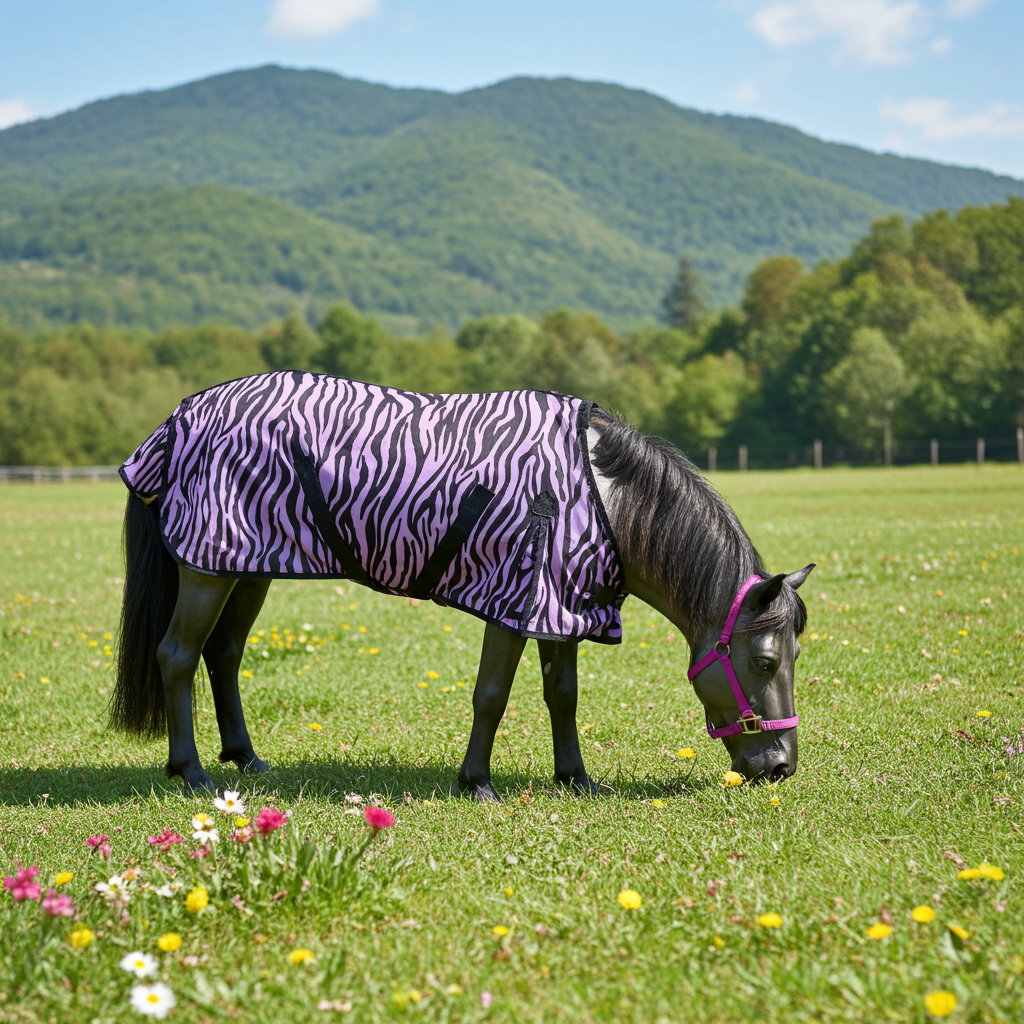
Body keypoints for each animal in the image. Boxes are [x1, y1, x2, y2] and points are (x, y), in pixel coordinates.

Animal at [111, 371, 812, 799]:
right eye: (764, 660)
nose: (780, 767)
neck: (596, 496)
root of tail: (182, 417)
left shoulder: (559, 606)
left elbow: (562, 695)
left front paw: (575, 778)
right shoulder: (514, 600)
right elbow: (492, 696)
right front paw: (476, 782)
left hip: (247, 566)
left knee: (223, 654)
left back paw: (246, 759)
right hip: (209, 568)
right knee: (177, 656)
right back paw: (191, 772)